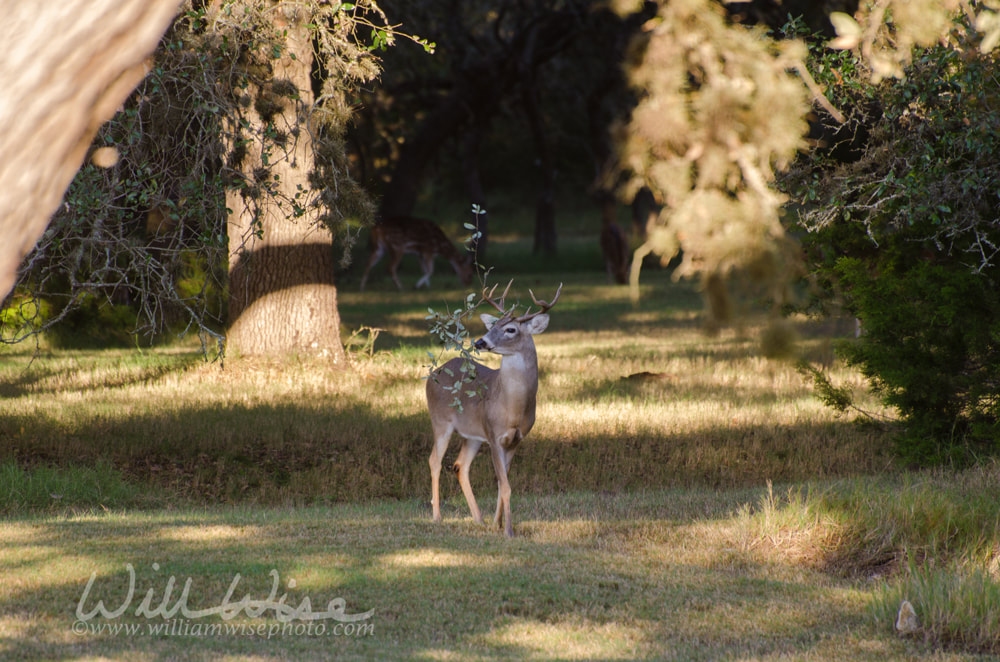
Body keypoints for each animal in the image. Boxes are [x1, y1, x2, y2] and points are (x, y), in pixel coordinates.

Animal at [424, 282, 564, 536]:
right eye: (493, 325)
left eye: (510, 329)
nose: (480, 342)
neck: (513, 409)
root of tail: (434, 373)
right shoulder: (493, 434)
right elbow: (505, 486)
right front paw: (508, 530)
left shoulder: (516, 440)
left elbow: (501, 483)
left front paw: (496, 524)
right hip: (440, 421)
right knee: (434, 461)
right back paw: (437, 516)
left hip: (472, 434)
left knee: (460, 466)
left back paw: (479, 519)